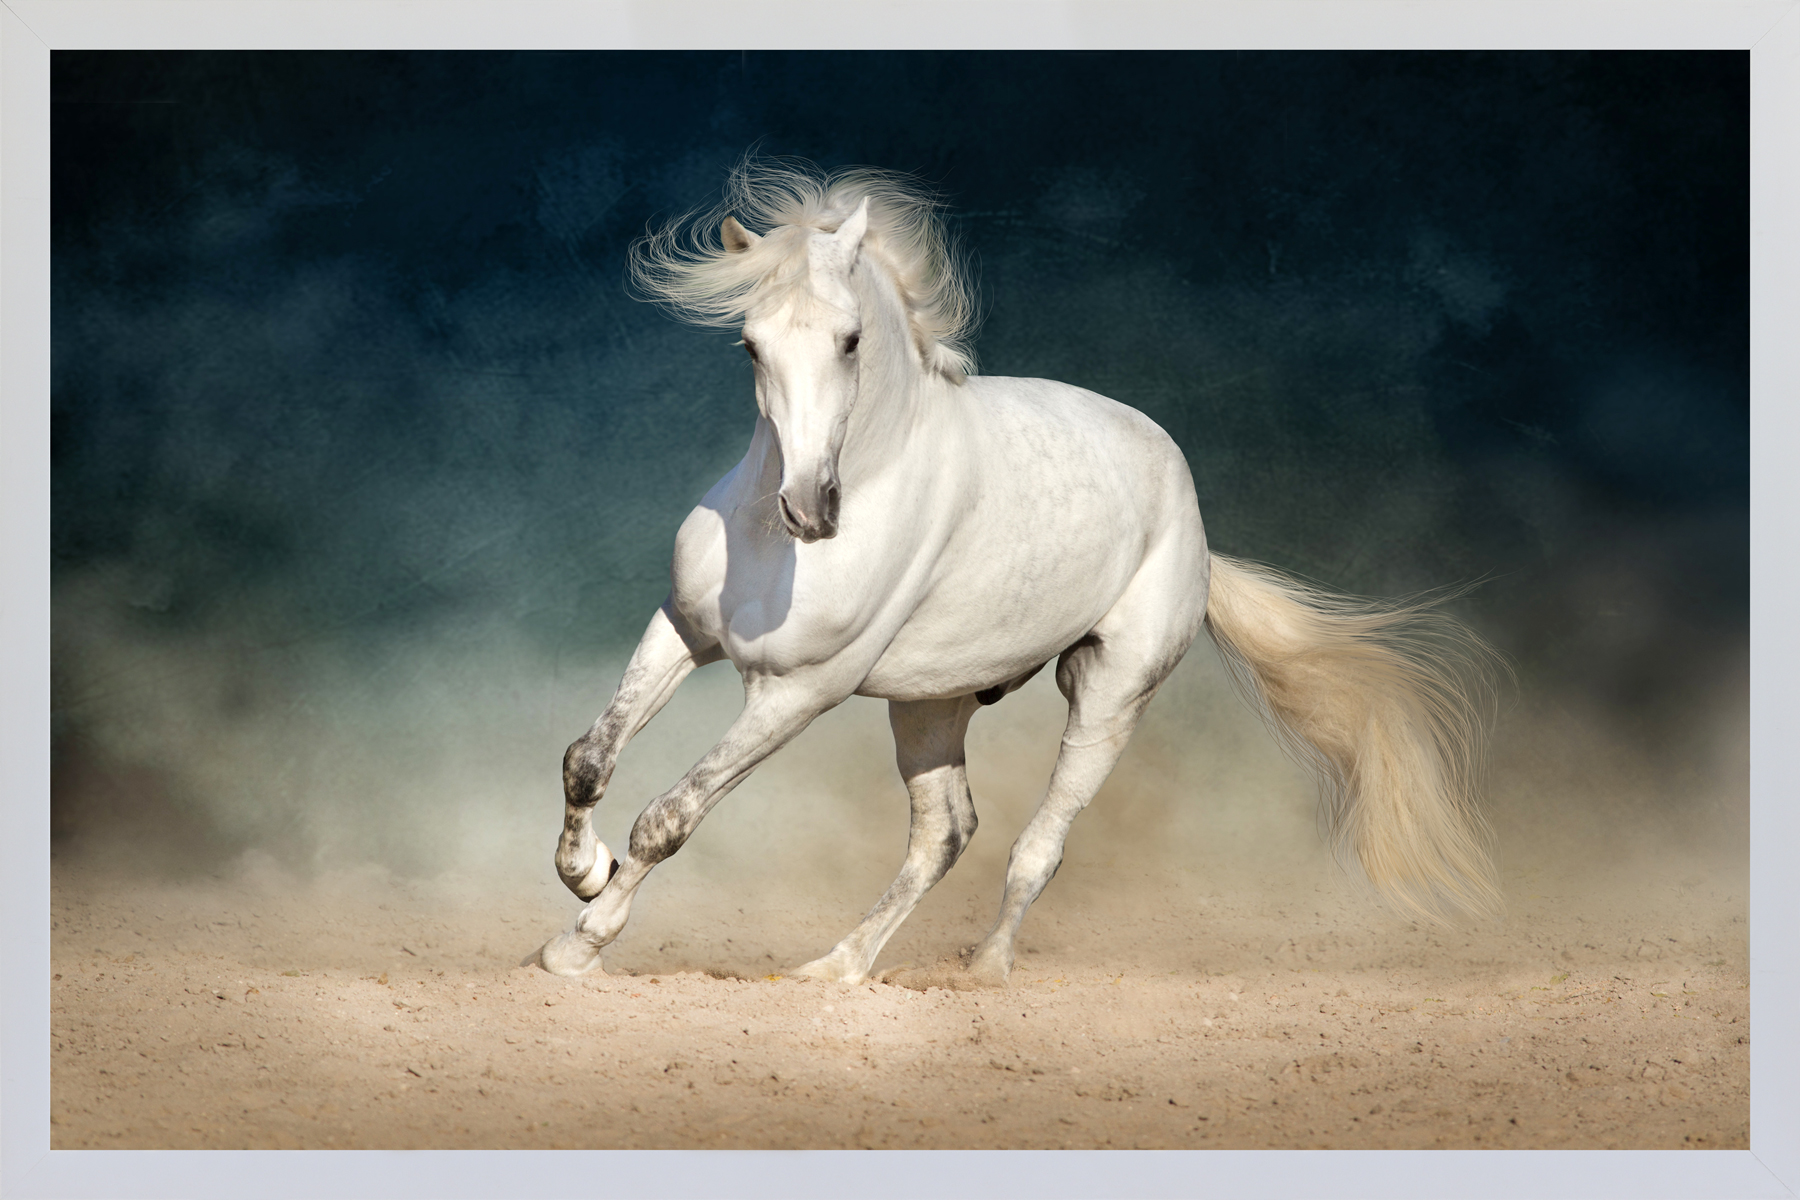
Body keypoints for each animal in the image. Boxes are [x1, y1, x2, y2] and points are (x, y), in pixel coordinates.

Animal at [539, 159, 1501, 984]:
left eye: (850, 341)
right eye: (750, 346)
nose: (810, 509)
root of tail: (1193, 523)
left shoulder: (797, 693)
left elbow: (670, 816)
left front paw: (579, 944)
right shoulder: (683, 631)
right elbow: (589, 757)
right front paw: (585, 872)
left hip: (1109, 695)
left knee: (1039, 844)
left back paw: (983, 973)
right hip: (929, 703)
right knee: (945, 834)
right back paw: (837, 969)